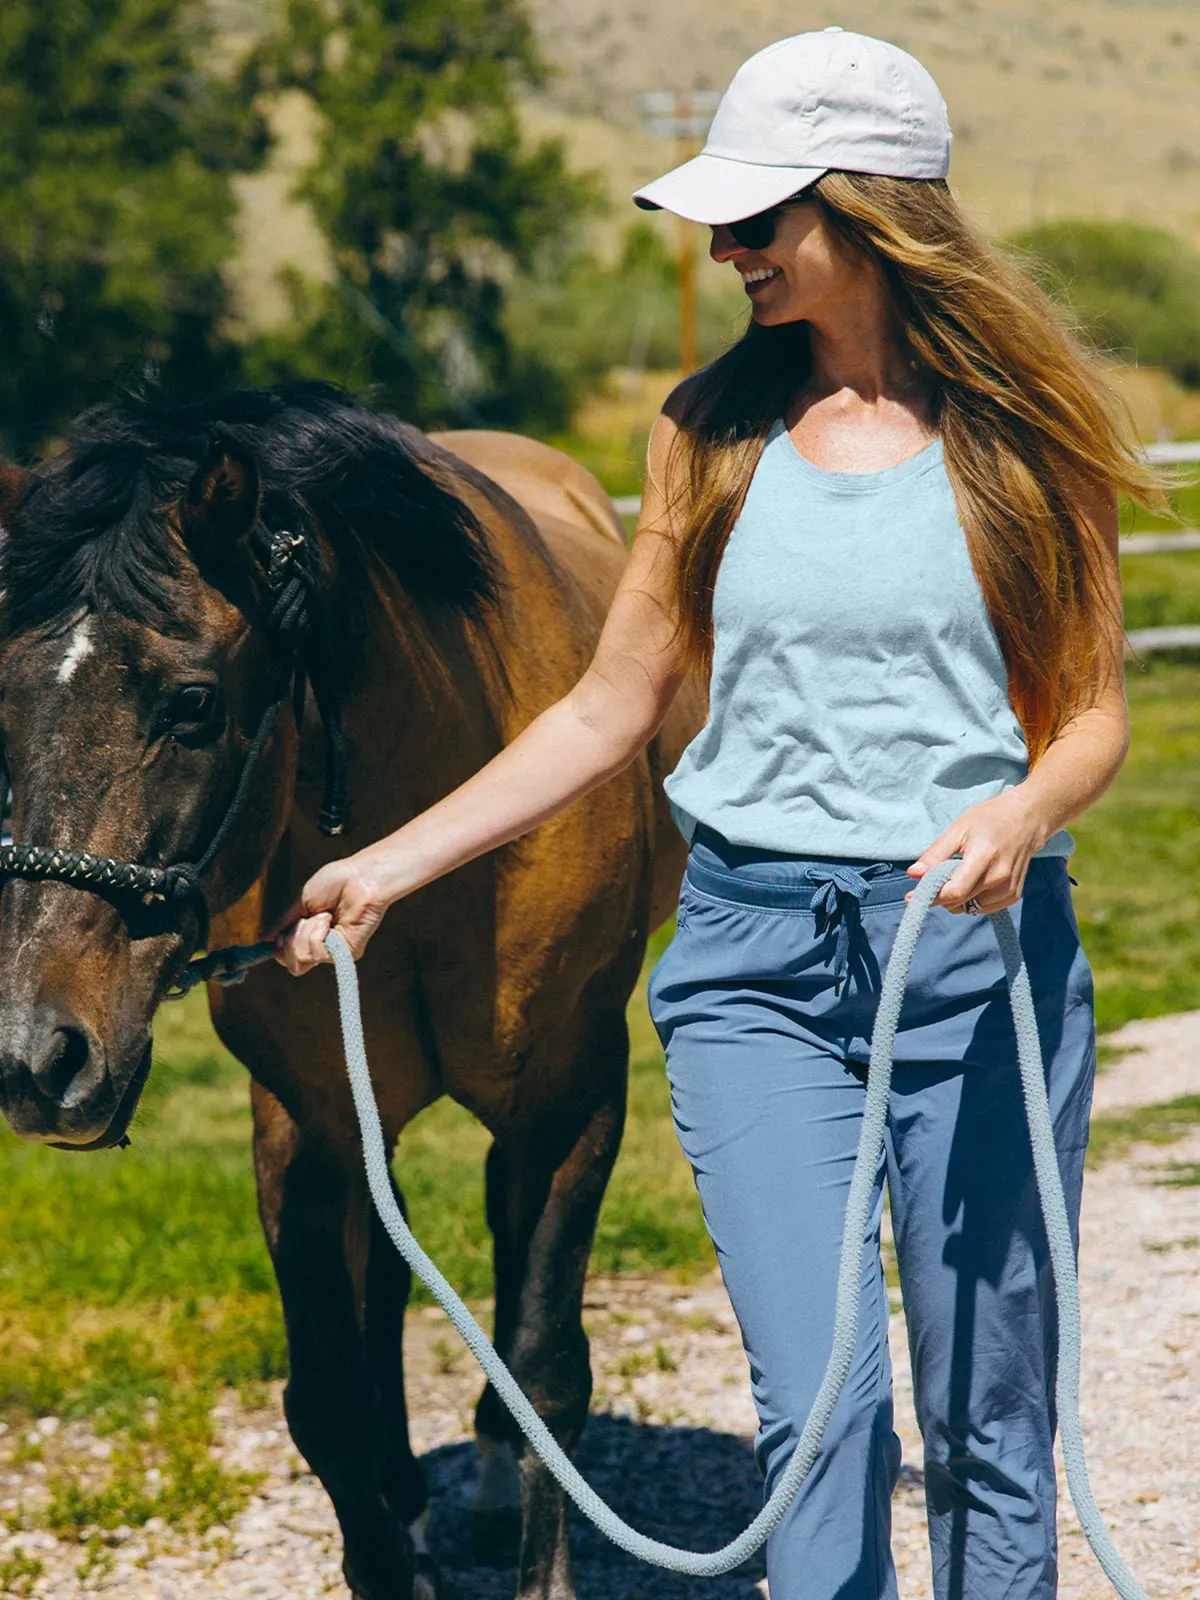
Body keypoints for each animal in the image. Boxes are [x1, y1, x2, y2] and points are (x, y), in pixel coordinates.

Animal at [0, 384, 704, 1600]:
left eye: (193, 701)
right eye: (1, 706)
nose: (37, 1059)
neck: (432, 830)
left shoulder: (573, 1096)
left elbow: (549, 1363)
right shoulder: (304, 1120)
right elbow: (326, 1397)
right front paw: (386, 1544)